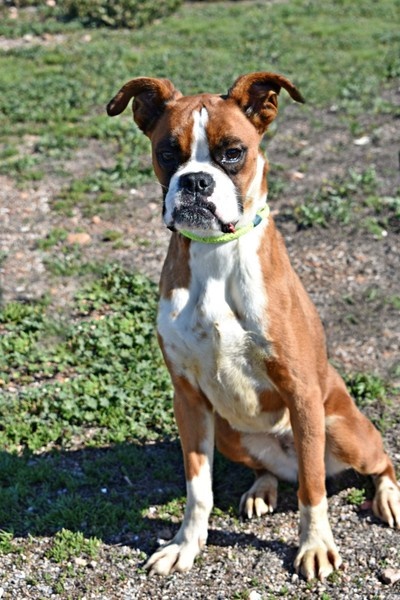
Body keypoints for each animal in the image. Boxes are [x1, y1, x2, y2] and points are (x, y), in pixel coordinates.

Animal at [107, 72, 400, 581]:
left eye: (232, 152)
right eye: (167, 152)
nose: (196, 180)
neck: (216, 253)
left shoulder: (301, 391)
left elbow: (313, 489)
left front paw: (315, 545)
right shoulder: (188, 399)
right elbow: (198, 489)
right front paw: (185, 544)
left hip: (342, 431)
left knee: (370, 464)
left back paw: (388, 498)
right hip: (228, 432)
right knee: (276, 471)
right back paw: (262, 489)